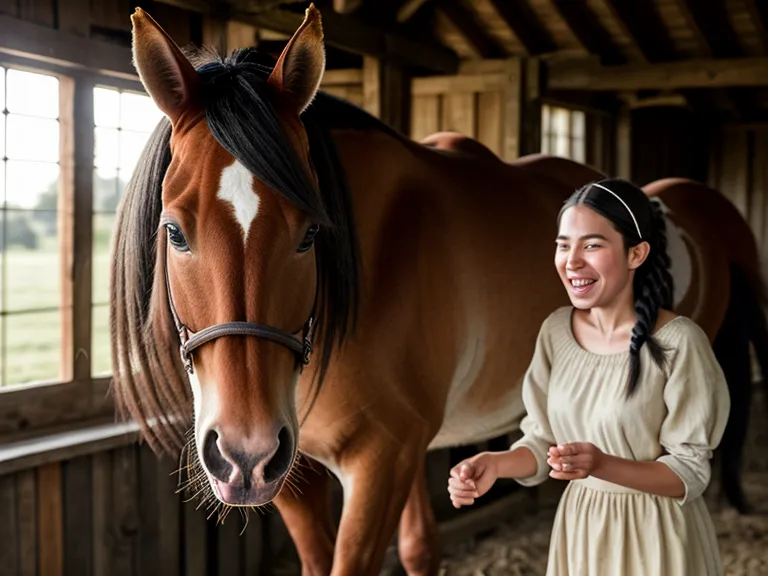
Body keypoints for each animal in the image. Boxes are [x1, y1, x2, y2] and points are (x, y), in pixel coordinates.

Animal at [110, 7, 763, 576]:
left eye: (311, 233)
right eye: (175, 230)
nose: (244, 451)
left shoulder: (383, 461)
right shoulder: (303, 476)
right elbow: (414, 546)